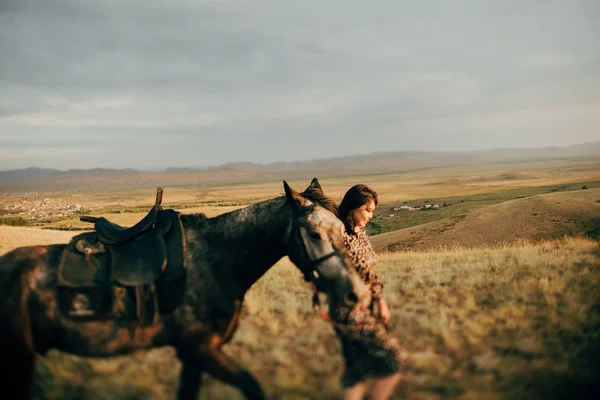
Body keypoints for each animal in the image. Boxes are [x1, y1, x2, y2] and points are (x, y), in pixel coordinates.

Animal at [0, 179, 366, 400]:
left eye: (343, 230)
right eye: (314, 234)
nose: (355, 294)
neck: (217, 259)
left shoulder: (194, 355)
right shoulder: (201, 349)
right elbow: (252, 386)